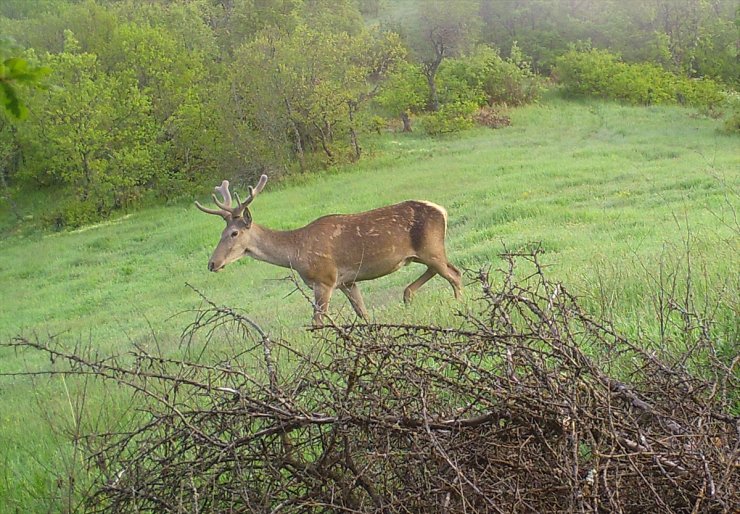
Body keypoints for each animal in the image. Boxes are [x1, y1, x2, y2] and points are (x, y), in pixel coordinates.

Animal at [197, 174, 462, 322]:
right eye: (221, 233)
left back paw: (459, 305)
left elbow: (318, 322)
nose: (212, 263)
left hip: (431, 248)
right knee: (441, 270)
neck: (296, 252)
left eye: (234, 233)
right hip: (423, 253)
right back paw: (407, 295)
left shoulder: (324, 279)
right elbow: (363, 314)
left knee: (455, 274)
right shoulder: (347, 281)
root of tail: (442, 210)